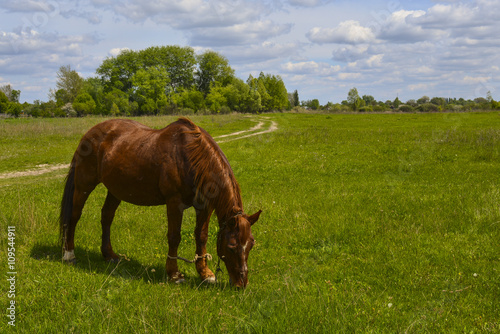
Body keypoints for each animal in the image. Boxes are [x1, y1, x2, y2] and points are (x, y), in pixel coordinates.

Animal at [59, 117, 262, 288]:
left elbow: (202, 236)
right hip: (84, 185)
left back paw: (109, 255)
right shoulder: (174, 203)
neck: (192, 158)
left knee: (107, 217)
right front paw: (174, 274)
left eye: (251, 244)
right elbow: (174, 237)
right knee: (74, 216)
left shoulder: (205, 207)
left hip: (115, 189)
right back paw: (69, 254)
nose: (241, 284)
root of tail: (91, 132)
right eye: (232, 246)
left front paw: (205, 273)